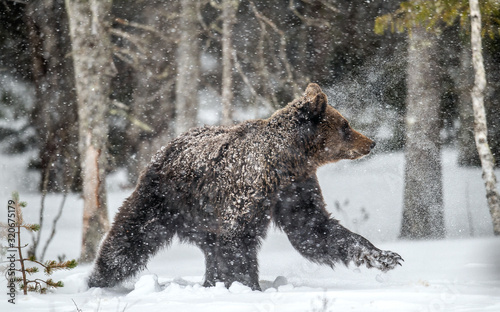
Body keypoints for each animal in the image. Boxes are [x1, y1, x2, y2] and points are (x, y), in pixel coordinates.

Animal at [89, 83, 402, 290]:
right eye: (345, 125)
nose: (371, 142)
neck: (287, 161)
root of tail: (163, 149)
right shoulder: (249, 190)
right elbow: (239, 241)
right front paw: (248, 286)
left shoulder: (295, 189)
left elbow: (315, 229)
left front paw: (386, 257)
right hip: (164, 199)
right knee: (129, 240)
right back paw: (97, 280)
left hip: (203, 218)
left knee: (210, 250)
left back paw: (210, 282)